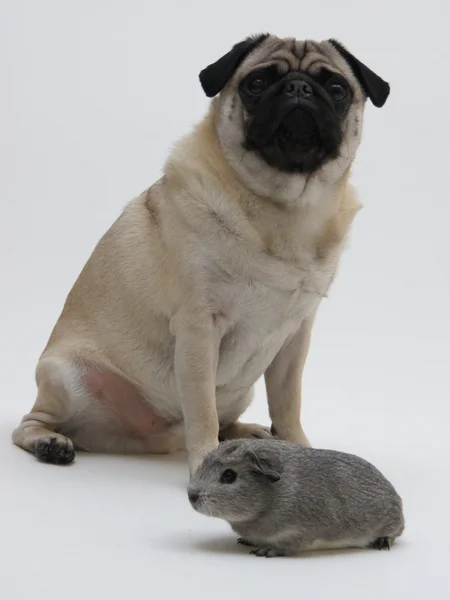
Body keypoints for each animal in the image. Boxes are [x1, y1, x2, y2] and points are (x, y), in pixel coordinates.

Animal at [12, 34, 388, 474]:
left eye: (336, 88)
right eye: (256, 84)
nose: (298, 88)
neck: (284, 208)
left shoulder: (296, 336)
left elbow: (288, 402)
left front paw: (299, 449)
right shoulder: (198, 327)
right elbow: (202, 408)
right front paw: (207, 462)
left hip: (240, 391)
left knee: (227, 419)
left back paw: (249, 434)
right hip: (64, 375)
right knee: (30, 422)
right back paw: (49, 443)